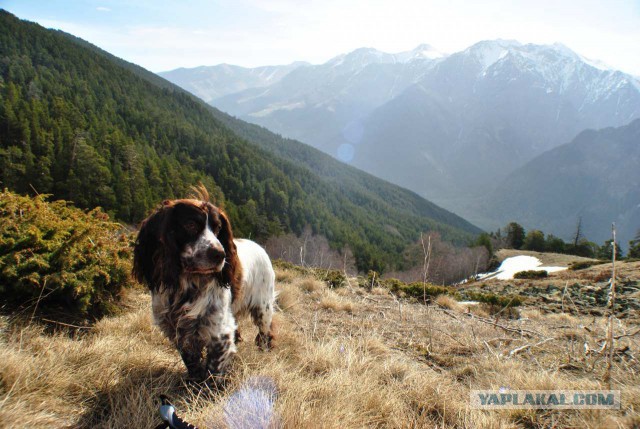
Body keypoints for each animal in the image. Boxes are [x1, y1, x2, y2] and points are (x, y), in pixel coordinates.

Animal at [132, 189, 276, 380]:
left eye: (218, 228)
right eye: (190, 225)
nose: (220, 255)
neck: (187, 286)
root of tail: (260, 247)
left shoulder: (218, 333)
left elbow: (213, 371)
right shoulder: (177, 330)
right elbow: (191, 362)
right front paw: (193, 381)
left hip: (263, 309)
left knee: (265, 334)